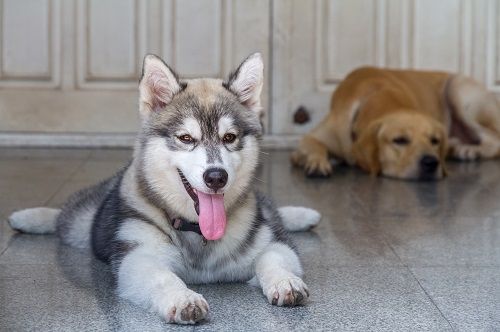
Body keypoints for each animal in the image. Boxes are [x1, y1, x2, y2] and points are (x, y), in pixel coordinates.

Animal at [8, 53, 320, 324]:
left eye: (229, 137)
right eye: (186, 138)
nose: (216, 177)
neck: (198, 233)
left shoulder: (270, 240)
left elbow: (274, 257)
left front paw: (285, 280)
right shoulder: (138, 255)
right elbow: (161, 276)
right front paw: (182, 298)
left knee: (272, 210)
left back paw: (302, 215)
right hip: (82, 222)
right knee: (66, 215)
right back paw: (31, 217)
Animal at [292, 67, 500, 180]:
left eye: (434, 140)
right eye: (399, 140)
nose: (431, 162)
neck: (377, 94)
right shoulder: (311, 138)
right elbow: (313, 146)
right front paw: (317, 162)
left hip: (458, 89)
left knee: (494, 139)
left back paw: (468, 150)